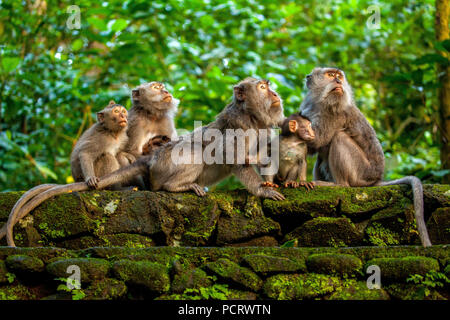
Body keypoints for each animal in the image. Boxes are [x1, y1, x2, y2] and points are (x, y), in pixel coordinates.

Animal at [3, 77, 284, 248]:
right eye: (262, 87)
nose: (274, 92)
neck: (252, 117)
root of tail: (152, 159)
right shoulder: (239, 128)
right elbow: (234, 158)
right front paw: (262, 191)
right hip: (165, 165)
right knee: (192, 153)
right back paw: (176, 187)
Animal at [298, 67, 432, 248]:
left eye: (339, 76)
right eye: (331, 75)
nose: (338, 81)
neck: (319, 100)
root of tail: (376, 179)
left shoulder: (333, 111)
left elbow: (318, 140)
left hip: (361, 171)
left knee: (339, 137)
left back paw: (339, 185)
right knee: (322, 157)